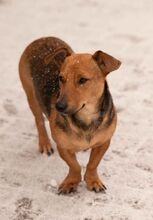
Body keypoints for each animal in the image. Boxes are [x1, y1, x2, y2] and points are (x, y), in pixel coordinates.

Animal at [18, 37, 121, 193]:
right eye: (61, 78)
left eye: (83, 80)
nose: (58, 106)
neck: (86, 118)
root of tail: (41, 39)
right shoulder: (63, 146)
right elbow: (74, 165)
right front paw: (71, 182)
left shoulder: (104, 142)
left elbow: (93, 163)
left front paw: (93, 181)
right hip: (31, 95)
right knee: (39, 121)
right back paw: (45, 144)